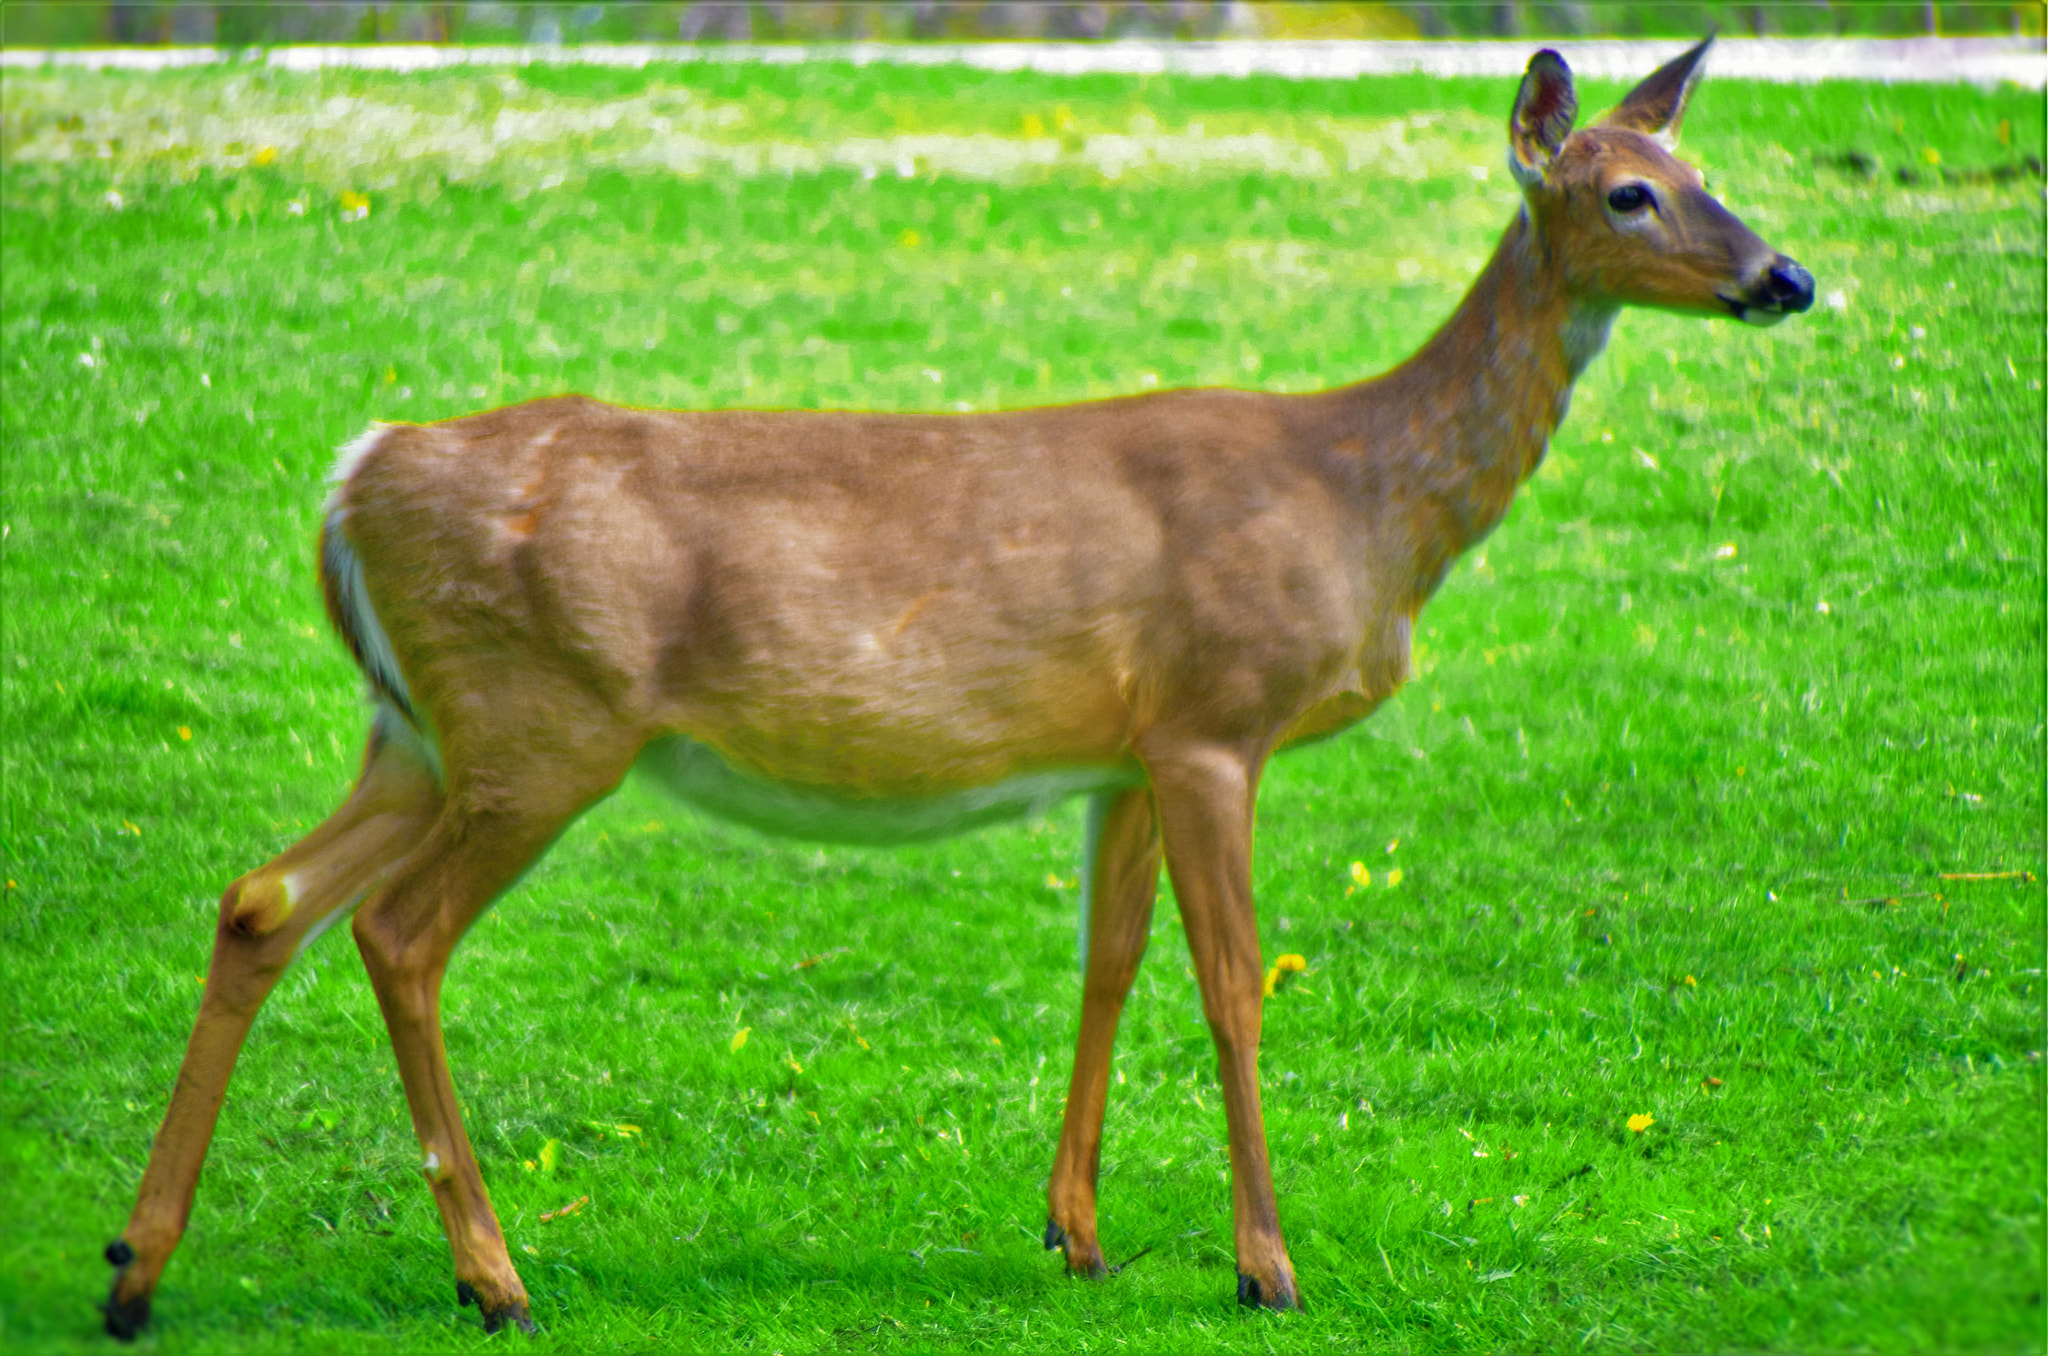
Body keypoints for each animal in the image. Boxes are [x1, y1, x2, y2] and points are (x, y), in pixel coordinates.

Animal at [103, 37, 1818, 1343]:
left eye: (1713, 173)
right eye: (1628, 190)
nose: (1786, 276)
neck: (1363, 499)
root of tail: (355, 475)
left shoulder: (1129, 748)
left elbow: (1109, 966)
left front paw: (1079, 1234)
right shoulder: (1218, 718)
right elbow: (1232, 984)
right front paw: (1267, 1266)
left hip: (419, 727)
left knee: (261, 899)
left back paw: (137, 1268)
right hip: (544, 721)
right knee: (397, 933)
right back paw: (494, 1278)